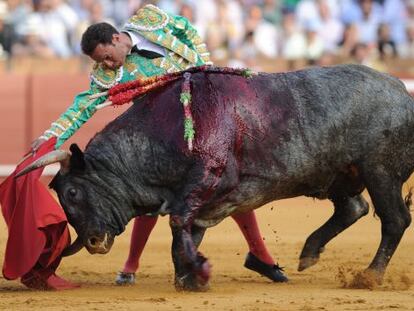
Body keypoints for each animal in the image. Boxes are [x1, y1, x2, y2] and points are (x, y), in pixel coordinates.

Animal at [19, 64, 414, 292]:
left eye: (72, 192)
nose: (92, 241)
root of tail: (404, 94)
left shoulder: (207, 179)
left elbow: (179, 222)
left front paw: (199, 271)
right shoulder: (203, 197)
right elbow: (185, 229)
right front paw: (188, 277)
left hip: (379, 171)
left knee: (394, 219)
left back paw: (369, 276)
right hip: (337, 174)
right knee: (354, 208)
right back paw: (309, 253)